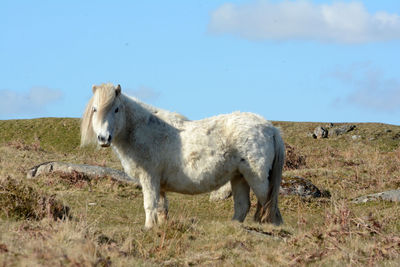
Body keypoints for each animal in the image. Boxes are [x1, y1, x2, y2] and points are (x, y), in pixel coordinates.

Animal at [80, 84, 284, 230]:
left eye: (116, 109)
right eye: (95, 109)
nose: (104, 138)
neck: (142, 129)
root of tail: (270, 128)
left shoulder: (149, 178)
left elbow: (149, 204)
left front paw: (148, 227)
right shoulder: (159, 184)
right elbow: (161, 208)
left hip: (257, 178)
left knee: (268, 203)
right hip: (239, 177)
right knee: (243, 205)